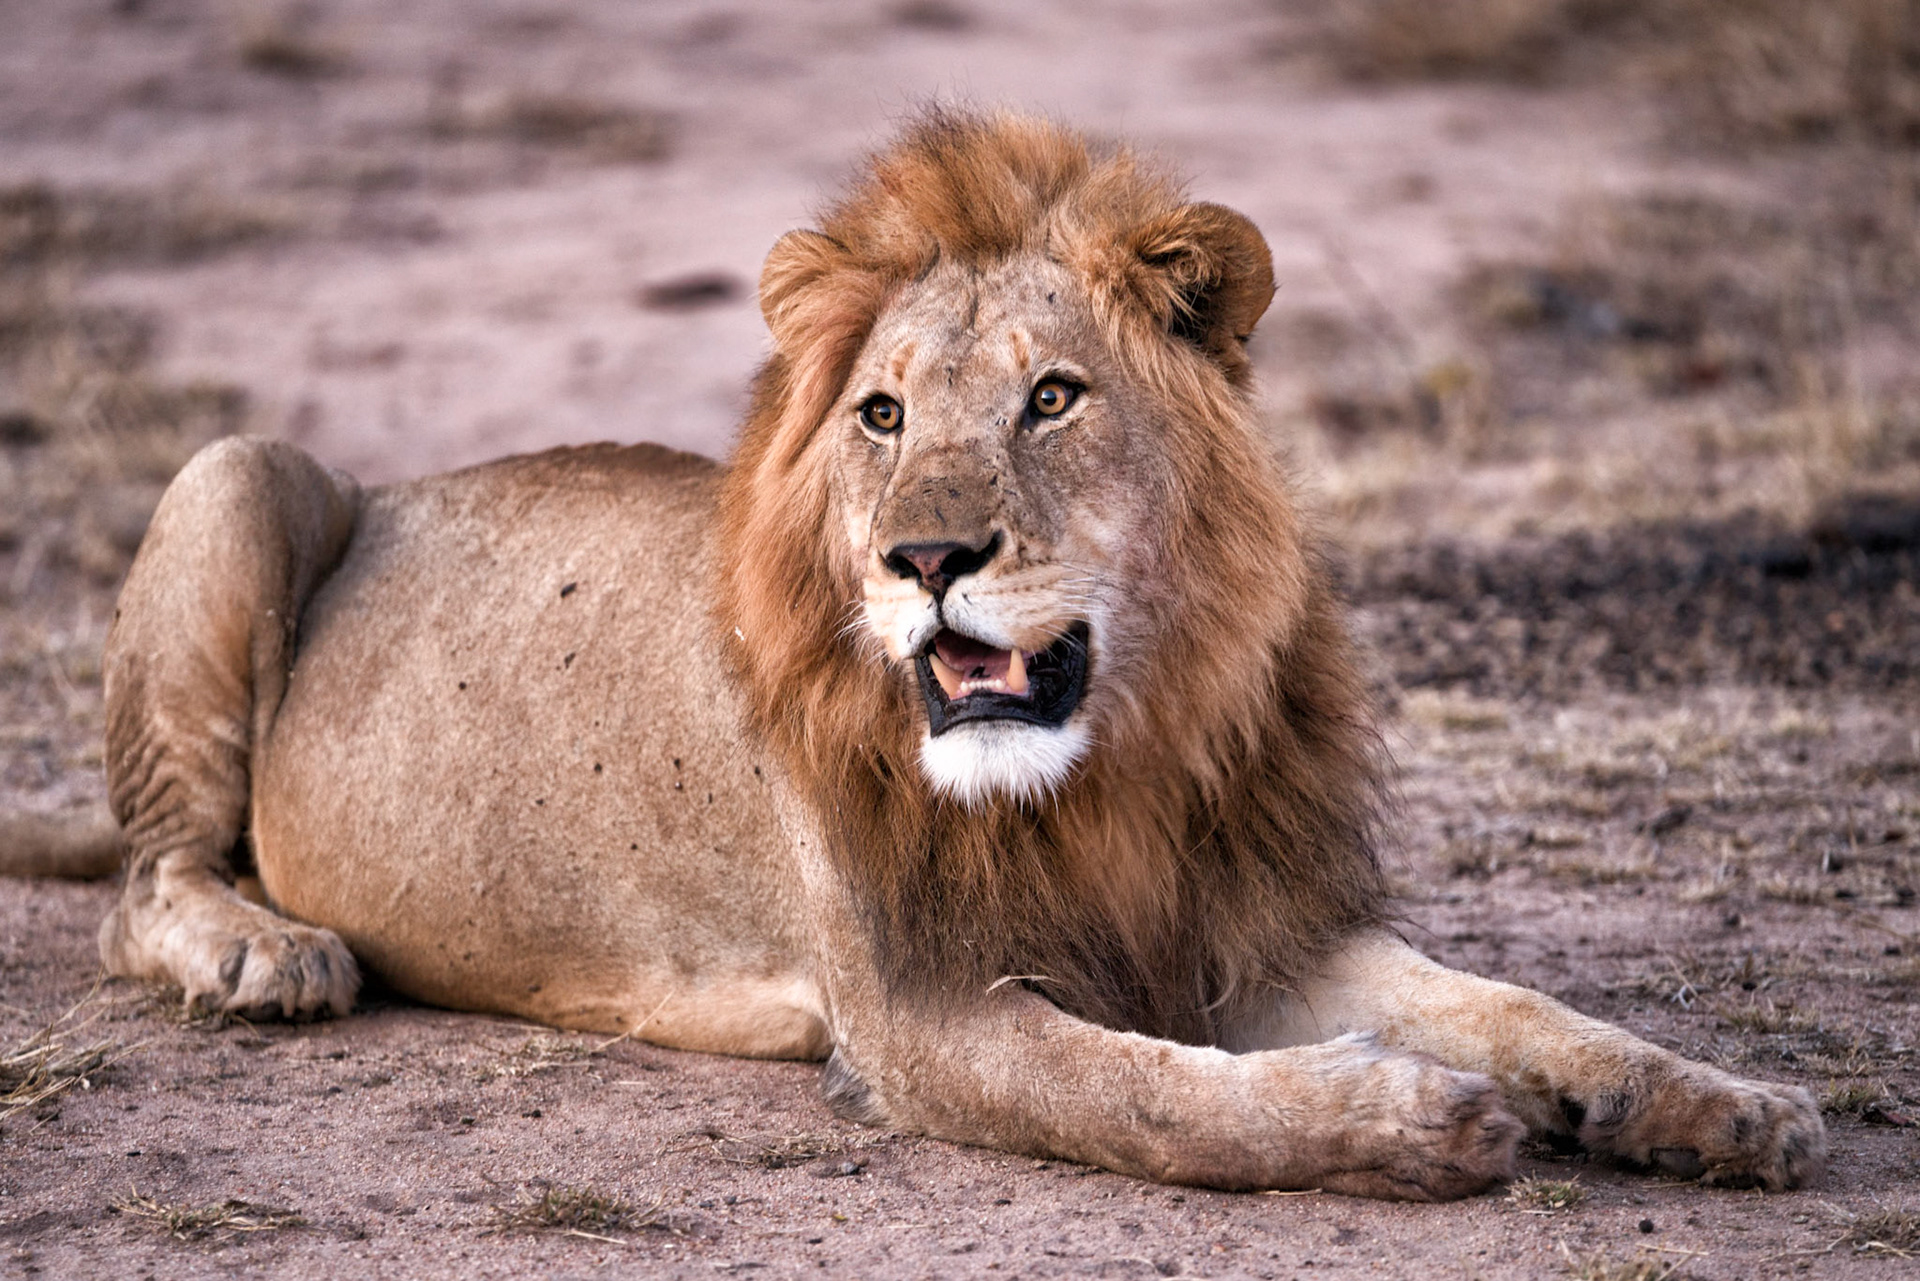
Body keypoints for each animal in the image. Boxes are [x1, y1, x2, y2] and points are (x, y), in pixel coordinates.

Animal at [5, 110, 1823, 1199]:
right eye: (880, 415)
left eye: (1053, 397)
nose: (929, 560)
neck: (1111, 770)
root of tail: (404, 479)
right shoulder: (920, 1016)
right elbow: (1165, 1098)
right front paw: (1421, 1119)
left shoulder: (1236, 922)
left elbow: (1514, 1001)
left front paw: (1719, 1102)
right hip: (240, 472)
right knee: (146, 882)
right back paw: (266, 956)